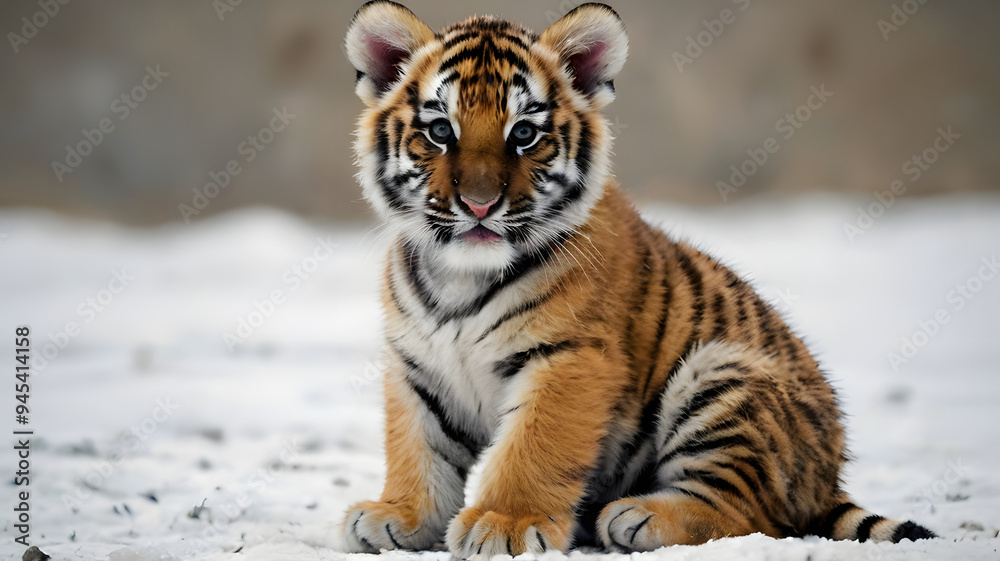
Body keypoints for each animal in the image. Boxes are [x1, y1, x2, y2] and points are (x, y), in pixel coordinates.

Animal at [340, 1, 936, 557]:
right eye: (441, 130)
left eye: (525, 134)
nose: (480, 204)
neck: (458, 277)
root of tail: (828, 477)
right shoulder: (418, 366)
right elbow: (418, 447)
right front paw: (399, 516)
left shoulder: (569, 358)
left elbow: (531, 448)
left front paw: (505, 524)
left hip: (724, 375)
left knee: (752, 515)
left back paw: (638, 516)